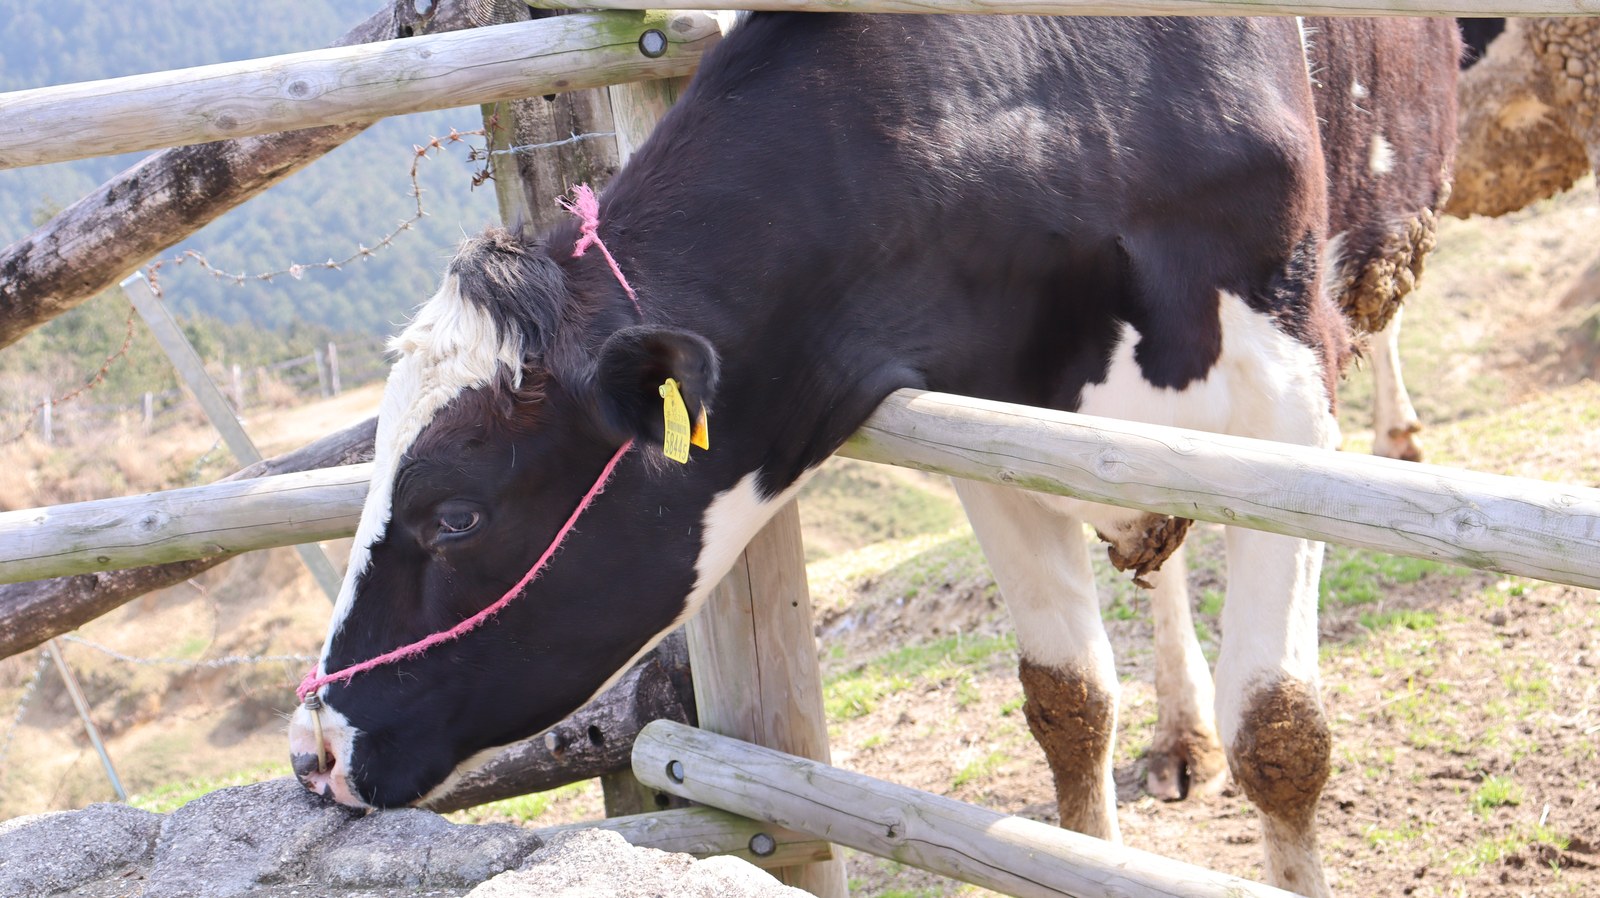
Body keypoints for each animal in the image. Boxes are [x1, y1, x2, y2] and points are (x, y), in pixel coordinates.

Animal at [286, 14, 1426, 896]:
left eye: (455, 514)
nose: (313, 750)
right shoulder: (995, 429)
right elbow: (1067, 702)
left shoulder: (1289, 398)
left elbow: (1279, 730)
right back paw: (1179, 739)